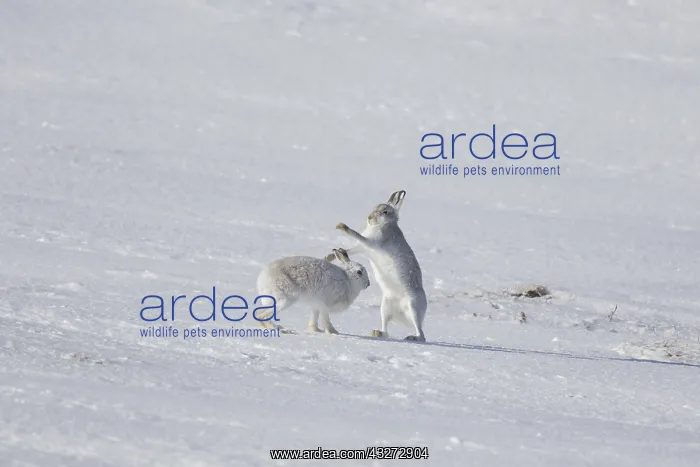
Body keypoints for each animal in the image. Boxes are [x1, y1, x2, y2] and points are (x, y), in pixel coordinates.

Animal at [326, 190, 427, 342]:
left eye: (385, 212)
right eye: (375, 207)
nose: (369, 218)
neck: (383, 225)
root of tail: (404, 319)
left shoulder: (372, 242)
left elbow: (357, 236)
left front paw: (343, 227)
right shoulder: (363, 248)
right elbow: (351, 250)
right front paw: (329, 257)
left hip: (413, 306)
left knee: (421, 333)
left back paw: (412, 337)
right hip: (385, 307)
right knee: (386, 328)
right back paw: (377, 333)